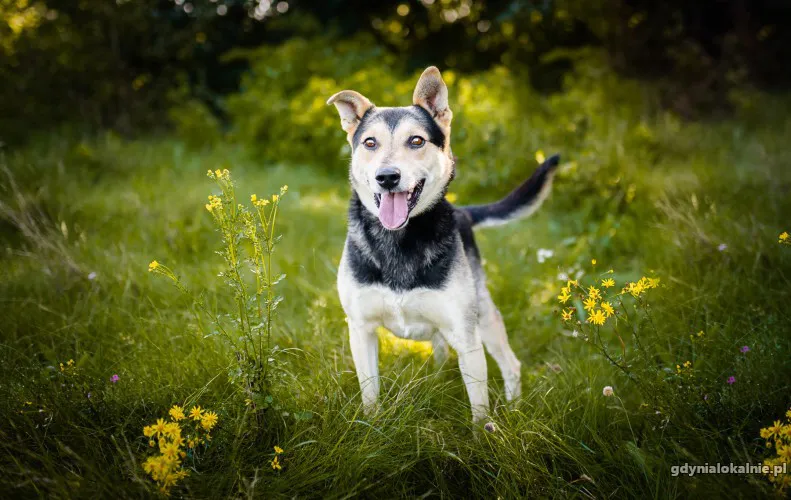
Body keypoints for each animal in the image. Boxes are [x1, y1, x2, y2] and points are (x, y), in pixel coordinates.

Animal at [324, 64, 560, 420]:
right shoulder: (361, 330)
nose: (387, 177)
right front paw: (372, 424)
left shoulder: (465, 335)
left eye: (416, 140)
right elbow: (370, 396)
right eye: (369, 142)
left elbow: (480, 412)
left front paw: (484, 433)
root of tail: (463, 212)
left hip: (484, 316)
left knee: (511, 364)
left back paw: (514, 409)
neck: (399, 238)